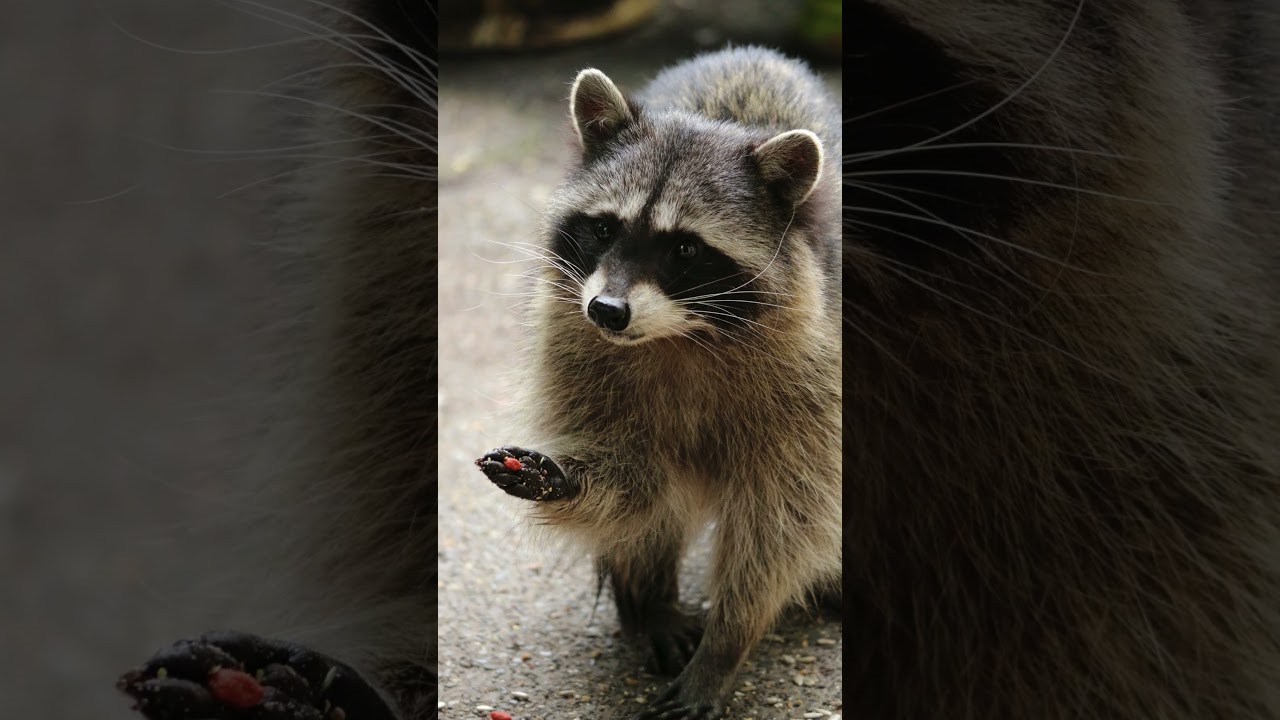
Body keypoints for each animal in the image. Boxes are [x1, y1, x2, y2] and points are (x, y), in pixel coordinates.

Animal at [475, 46, 842, 718]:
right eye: (604, 229)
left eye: (685, 249)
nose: (607, 311)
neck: (680, 336)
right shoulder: (571, 342)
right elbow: (638, 481)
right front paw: (578, 488)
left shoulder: (816, 375)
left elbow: (782, 521)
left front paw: (727, 644)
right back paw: (646, 598)